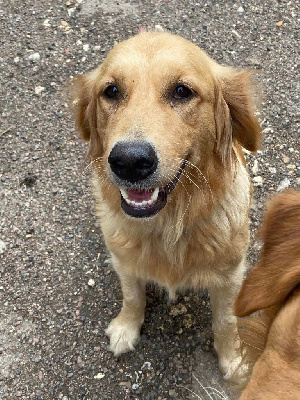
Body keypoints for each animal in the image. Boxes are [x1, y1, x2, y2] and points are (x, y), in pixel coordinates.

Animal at [74, 31, 262, 382]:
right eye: (111, 91)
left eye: (182, 91)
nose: (129, 162)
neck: (169, 224)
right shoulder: (123, 260)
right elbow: (132, 295)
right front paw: (126, 327)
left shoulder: (230, 274)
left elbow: (226, 321)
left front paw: (233, 359)